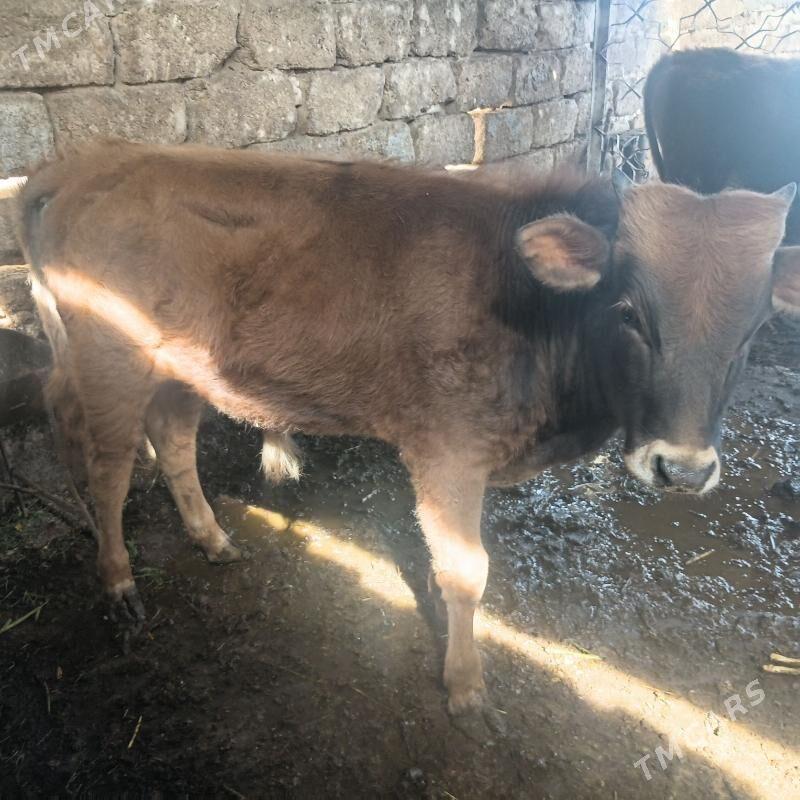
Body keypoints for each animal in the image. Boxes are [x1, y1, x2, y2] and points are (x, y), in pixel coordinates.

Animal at [18, 140, 800, 717]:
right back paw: (118, 581)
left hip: (181, 367)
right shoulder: (449, 450)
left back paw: (212, 539)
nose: (683, 468)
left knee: (174, 442)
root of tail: (83, 159)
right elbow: (467, 571)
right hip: (109, 360)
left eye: (755, 329)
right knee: (107, 462)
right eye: (630, 311)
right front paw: (465, 685)